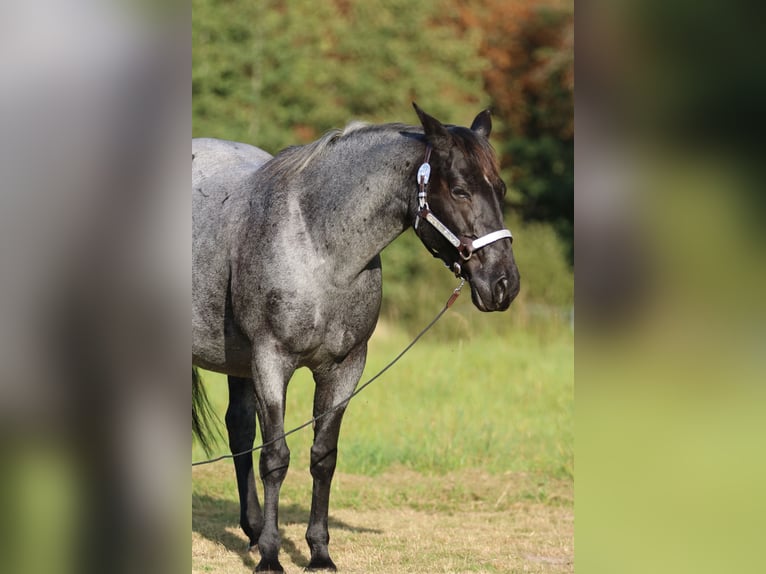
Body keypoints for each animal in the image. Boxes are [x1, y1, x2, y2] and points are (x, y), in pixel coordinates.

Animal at [192, 104, 520, 572]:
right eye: (459, 190)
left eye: (501, 188)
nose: (504, 284)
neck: (317, 247)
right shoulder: (271, 361)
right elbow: (275, 458)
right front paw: (272, 556)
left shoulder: (345, 368)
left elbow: (323, 457)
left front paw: (319, 553)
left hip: (236, 363)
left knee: (238, 430)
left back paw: (252, 530)